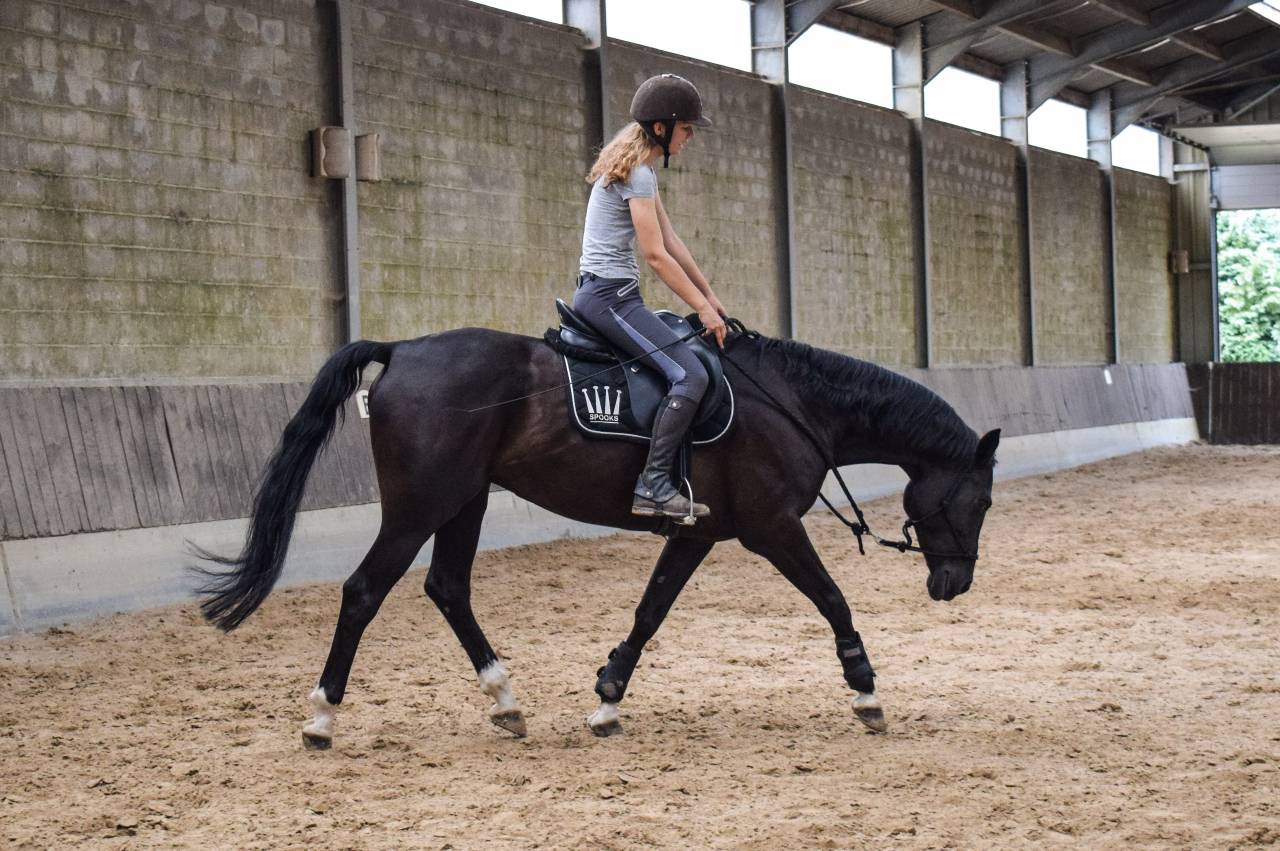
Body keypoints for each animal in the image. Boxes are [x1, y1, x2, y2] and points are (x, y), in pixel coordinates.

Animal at [197, 325, 999, 749]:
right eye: (983, 497)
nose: (954, 581)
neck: (793, 402)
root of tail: (402, 349)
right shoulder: (772, 528)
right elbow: (833, 600)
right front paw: (866, 691)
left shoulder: (700, 532)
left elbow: (650, 611)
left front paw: (609, 697)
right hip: (420, 506)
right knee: (365, 591)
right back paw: (322, 716)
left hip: (462, 502)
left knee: (448, 587)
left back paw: (506, 701)